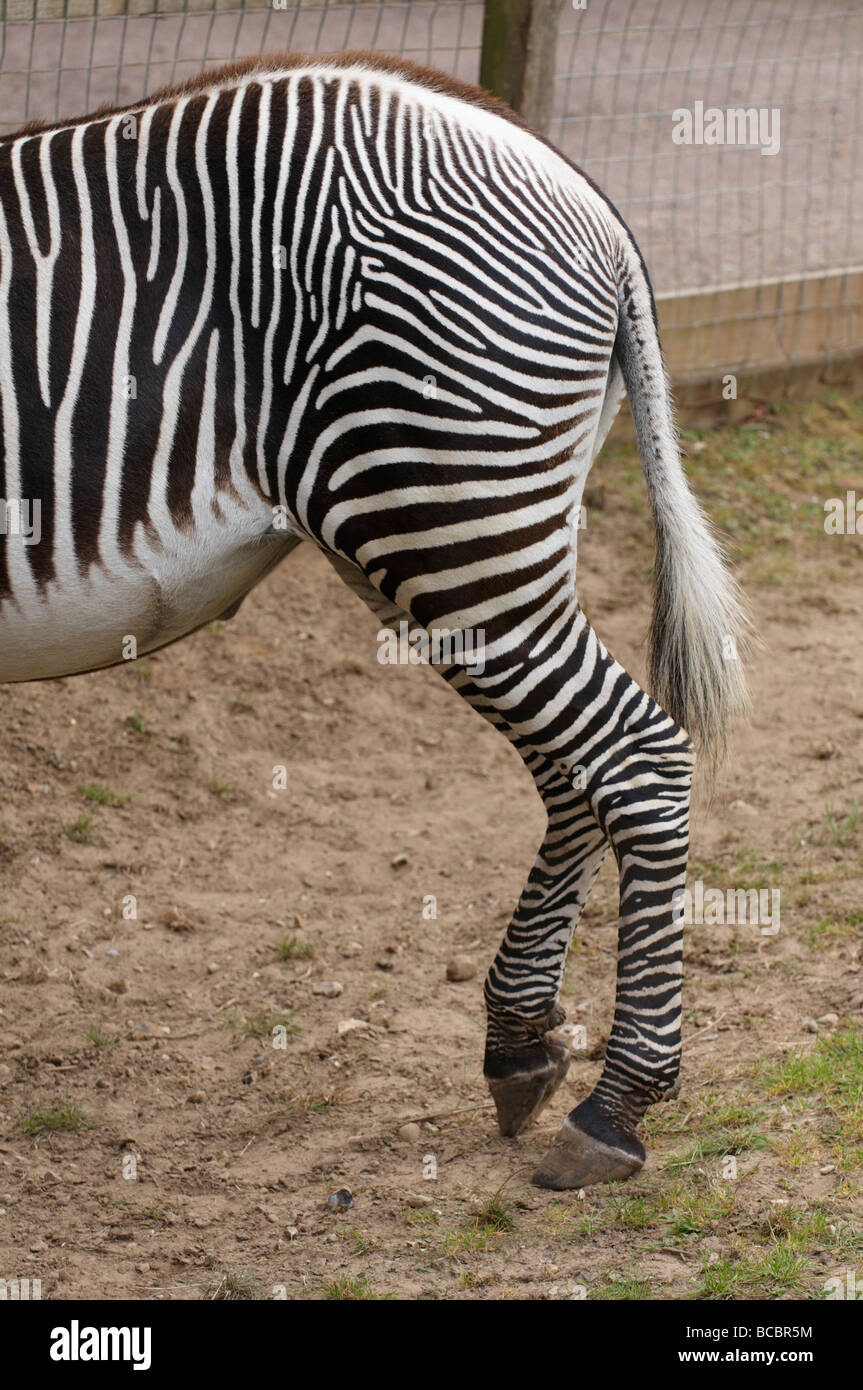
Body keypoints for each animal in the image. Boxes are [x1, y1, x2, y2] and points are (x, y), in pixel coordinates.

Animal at [0, 48, 744, 1189]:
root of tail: (569, 181)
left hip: (449, 517)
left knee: (633, 755)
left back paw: (615, 1105)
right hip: (448, 540)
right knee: (569, 767)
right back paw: (521, 1043)